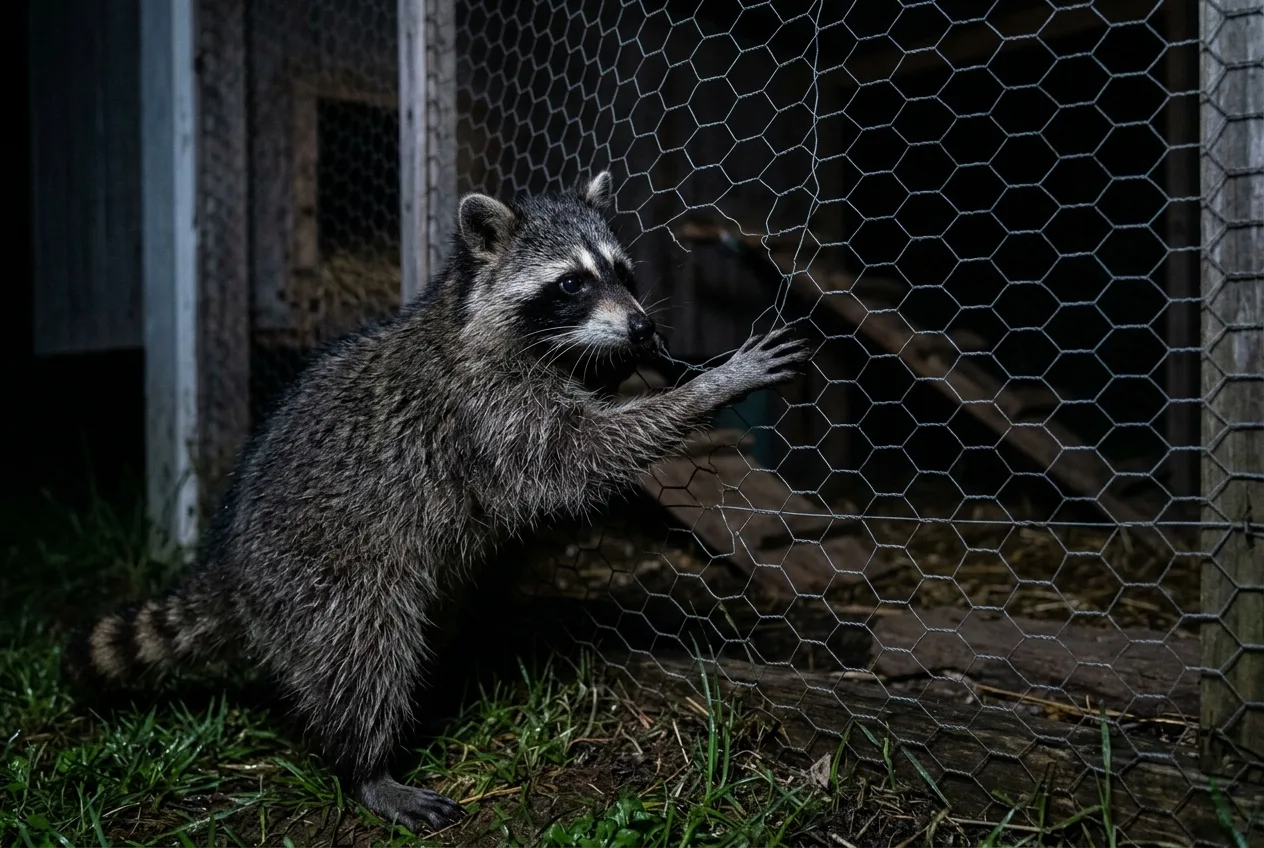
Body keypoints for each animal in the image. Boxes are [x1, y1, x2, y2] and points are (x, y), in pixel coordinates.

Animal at [62, 171, 809, 833]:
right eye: (572, 282)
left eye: (623, 272)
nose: (643, 328)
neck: (473, 312)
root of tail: (232, 566)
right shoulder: (485, 409)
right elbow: (580, 457)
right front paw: (706, 387)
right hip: (324, 575)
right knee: (366, 650)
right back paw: (366, 765)